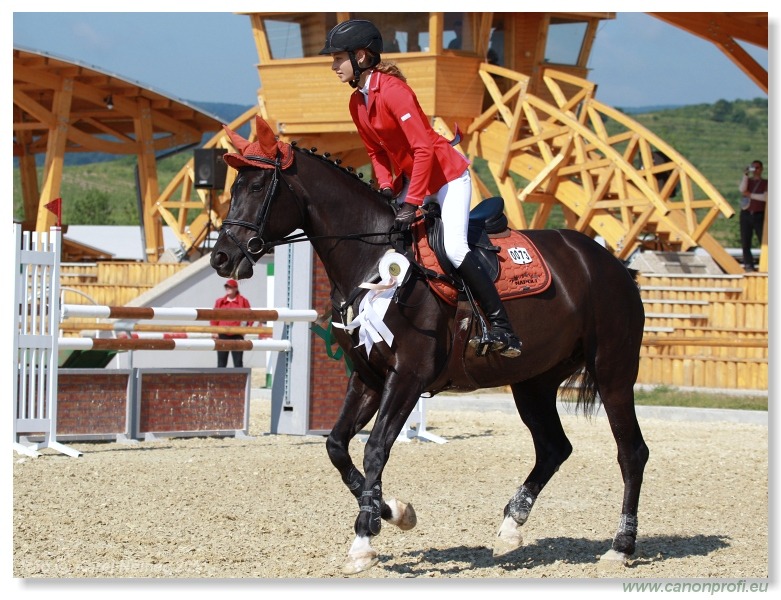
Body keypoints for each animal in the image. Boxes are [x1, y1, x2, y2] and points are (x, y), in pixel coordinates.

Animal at [207, 115, 644, 576]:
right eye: (234, 188)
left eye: (258, 187)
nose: (221, 258)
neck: (372, 257)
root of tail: (612, 263)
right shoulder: (367, 377)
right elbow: (337, 447)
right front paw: (392, 513)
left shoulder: (407, 377)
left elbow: (375, 449)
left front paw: (363, 540)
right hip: (533, 380)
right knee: (553, 448)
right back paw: (511, 527)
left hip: (612, 371)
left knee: (630, 451)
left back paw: (621, 545)